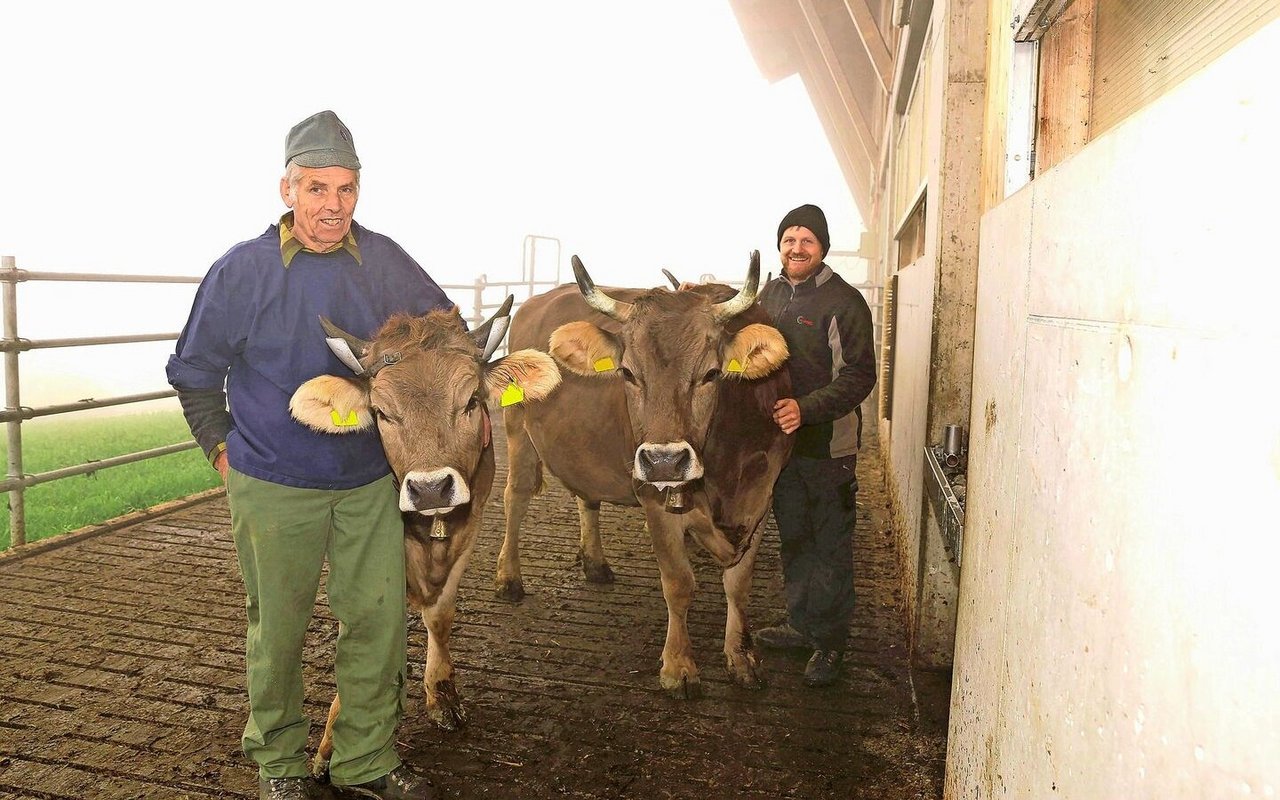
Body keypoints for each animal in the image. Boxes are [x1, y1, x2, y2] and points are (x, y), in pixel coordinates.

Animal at [290, 296, 560, 773]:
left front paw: (442, 693)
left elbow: (441, 614)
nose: (431, 487)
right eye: (381, 412)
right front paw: (334, 740)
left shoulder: (472, 521)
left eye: (471, 401)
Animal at [496, 252, 788, 696]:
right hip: (517, 429)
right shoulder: (654, 496)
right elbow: (679, 583)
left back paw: (595, 563)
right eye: (628, 373)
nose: (664, 461)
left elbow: (739, 584)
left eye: (711, 373)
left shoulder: (762, 495)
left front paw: (741, 658)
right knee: (516, 494)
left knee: (587, 497)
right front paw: (679, 667)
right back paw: (509, 578)